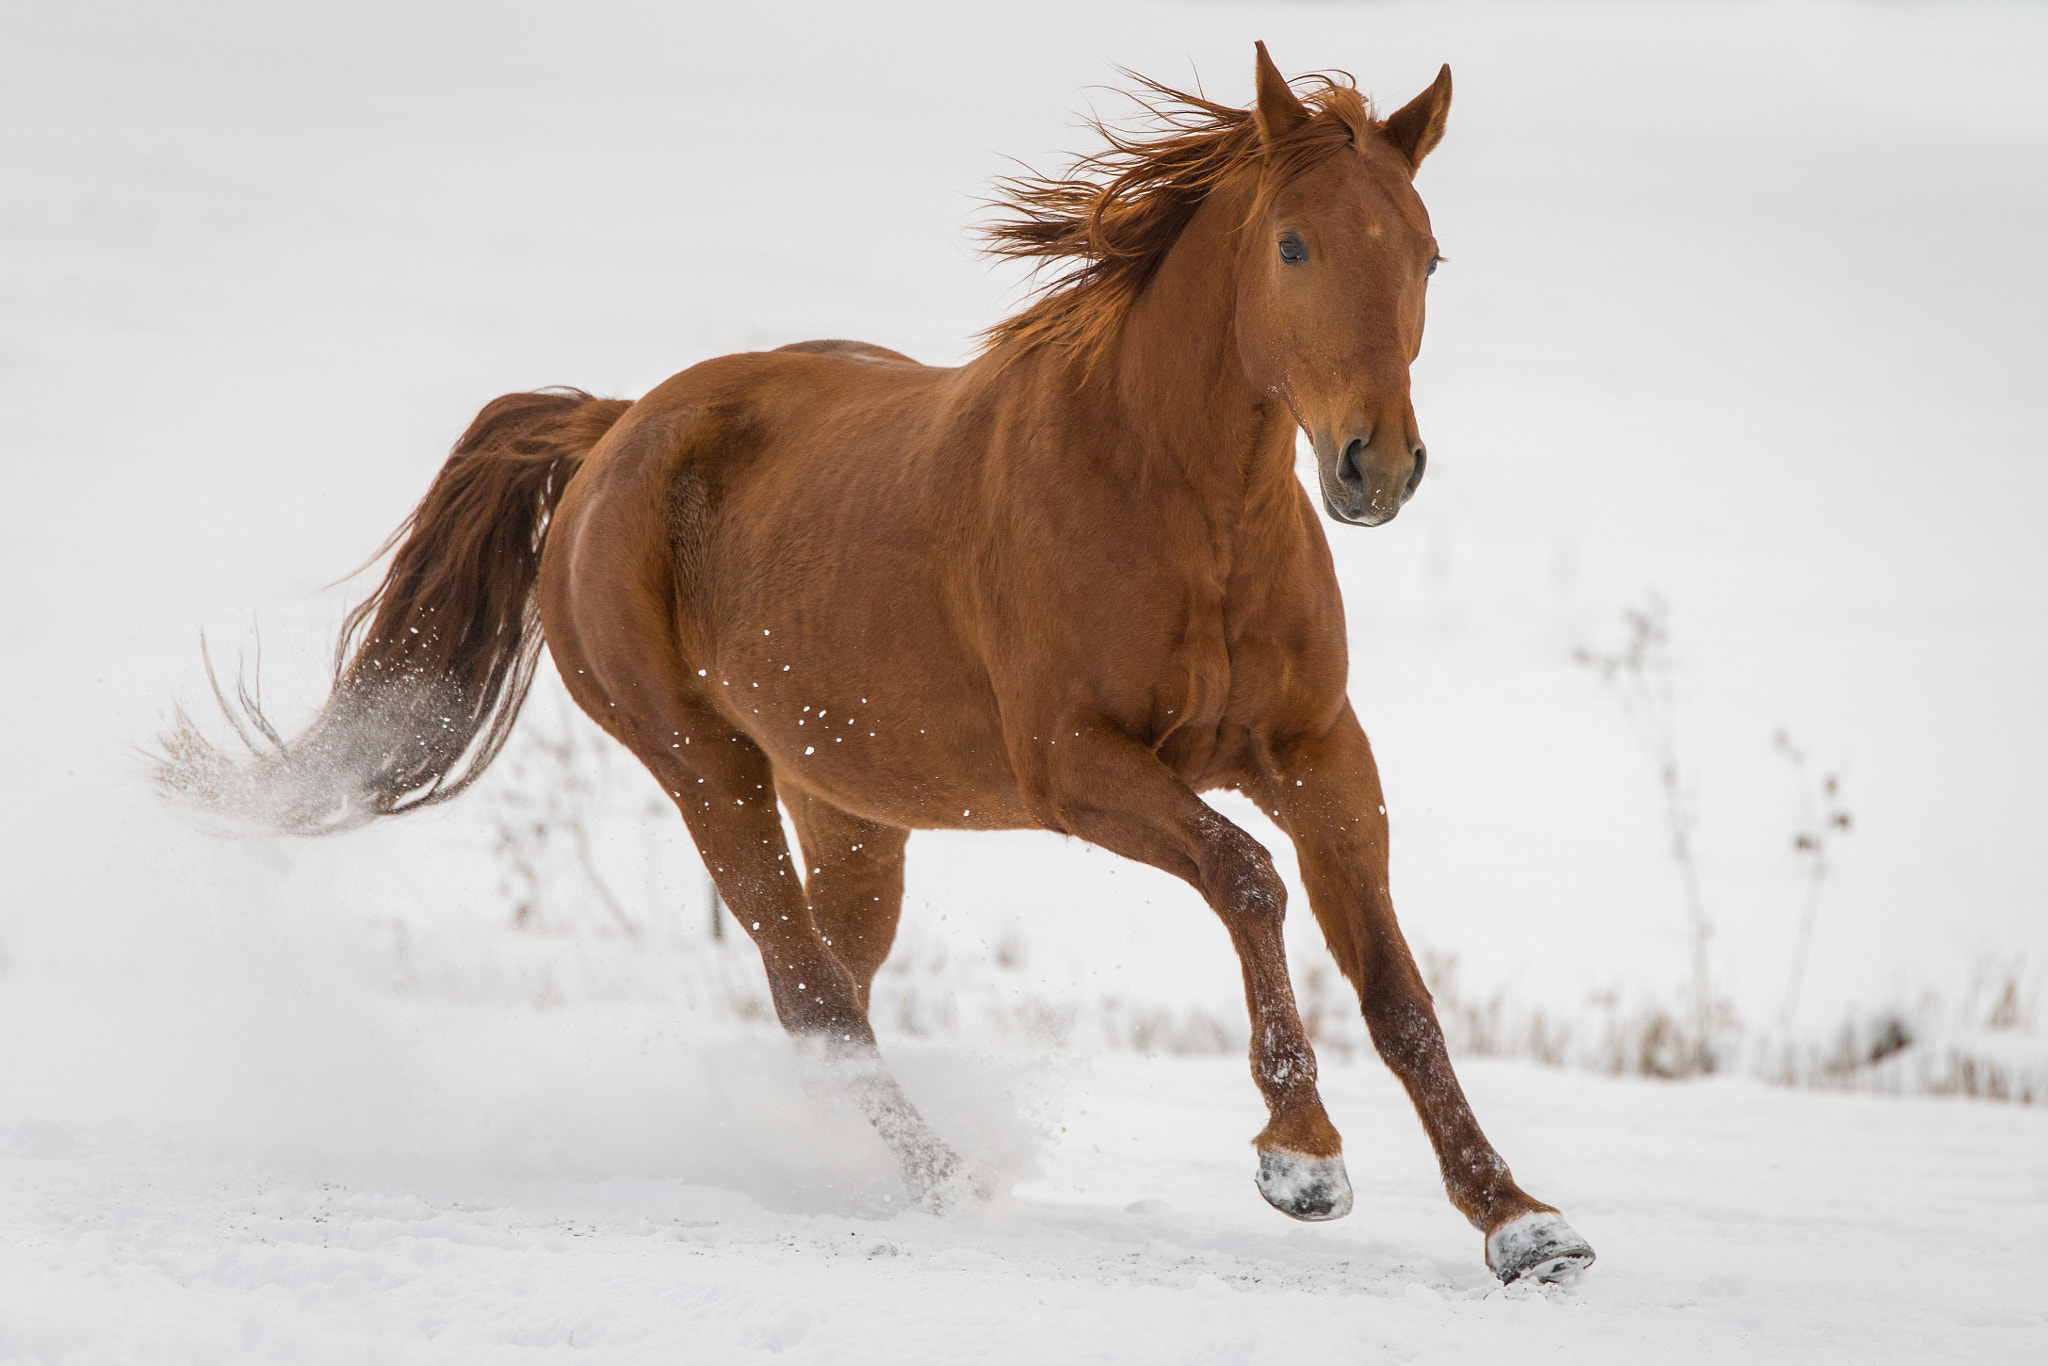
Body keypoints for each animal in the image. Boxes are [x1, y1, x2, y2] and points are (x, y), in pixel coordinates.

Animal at [159, 40, 1597, 1286]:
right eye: (1293, 244)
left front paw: (1519, 1221)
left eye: (1426, 254)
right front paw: (1300, 1160)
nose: (1374, 467)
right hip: (704, 766)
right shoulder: (1077, 769)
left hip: (846, 803)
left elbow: (1395, 985)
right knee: (808, 991)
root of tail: (615, 427)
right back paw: (934, 1176)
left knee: (832, 984)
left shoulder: (1318, 756)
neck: (1179, 507)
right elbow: (1247, 880)